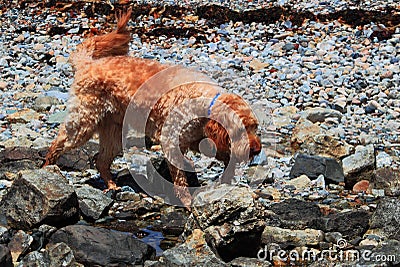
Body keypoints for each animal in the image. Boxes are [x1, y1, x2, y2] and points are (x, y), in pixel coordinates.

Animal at [44, 8, 262, 209]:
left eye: (255, 128)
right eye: (240, 130)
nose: (257, 149)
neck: (203, 101)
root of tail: (87, 63)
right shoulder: (171, 143)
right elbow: (180, 179)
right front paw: (187, 201)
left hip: (113, 133)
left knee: (101, 161)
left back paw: (112, 186)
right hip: (83, 124)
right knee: (58, 144)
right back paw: (48, 170)